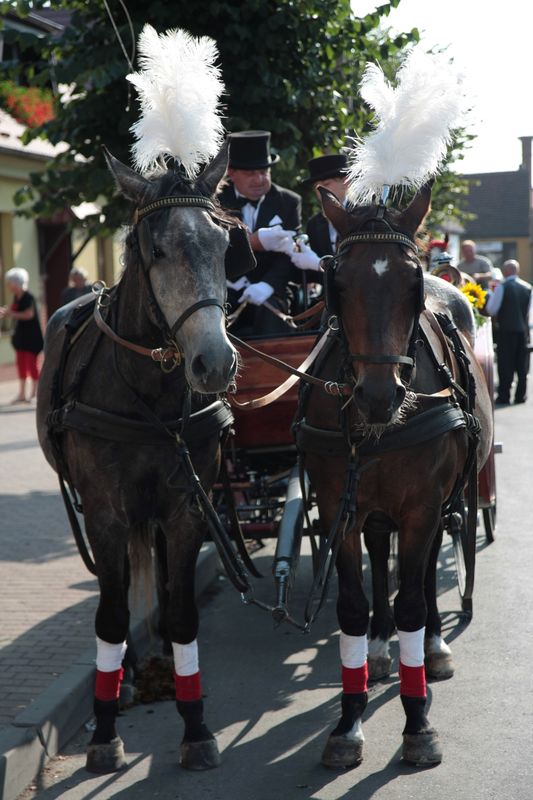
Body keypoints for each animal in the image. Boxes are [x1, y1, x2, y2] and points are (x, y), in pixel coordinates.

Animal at [37, 145, 249, 776]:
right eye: (155, 250)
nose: (214, 364)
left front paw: (195, 726)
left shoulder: (186, 508)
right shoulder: (106, 513)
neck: (146, 391)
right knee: (119, 590)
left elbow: (182, 613)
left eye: (224, 245)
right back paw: (126, 678)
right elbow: (109, 615)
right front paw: (105, 734)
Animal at [296, 184, 490, 772]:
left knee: (421, 573)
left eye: (411, 285)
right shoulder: (339, 506)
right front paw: (348, 721)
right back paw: (382, 648)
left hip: (444, 498)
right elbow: (353, 606)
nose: (379, 396)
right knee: (384, 558)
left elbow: (412, 600)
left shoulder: (423, 506)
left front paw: (417, 722)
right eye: (337, 284)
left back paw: (431, 646)